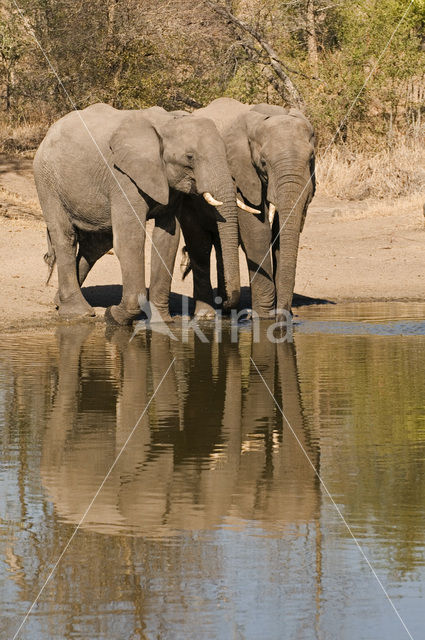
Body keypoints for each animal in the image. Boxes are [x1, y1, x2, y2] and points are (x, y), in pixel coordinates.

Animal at [34, 105, 240, 328]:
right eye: (189, 157)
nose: (225, 303)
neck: (168, 121)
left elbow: (167, 238)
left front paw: (161, 321)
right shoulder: (123, 176)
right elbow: (130, 238)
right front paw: (114, 316)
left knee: (96, 245)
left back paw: (59, 302)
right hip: (46, 179)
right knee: (66, 237)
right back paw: (78, 312)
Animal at [195, 98, 314, 318]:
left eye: (311, 158)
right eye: (264, 162)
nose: (284, 314)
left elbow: (281, 235)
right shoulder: (242, 171)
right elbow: (258, 231)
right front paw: (264, 316)